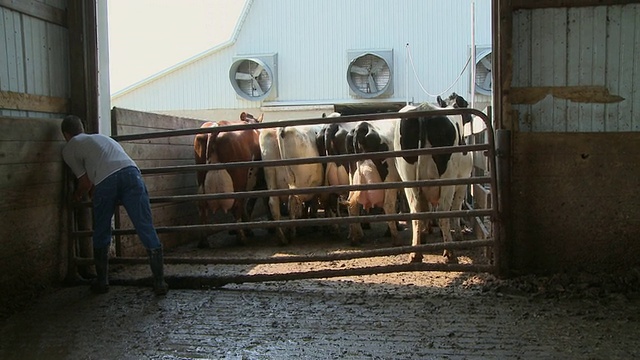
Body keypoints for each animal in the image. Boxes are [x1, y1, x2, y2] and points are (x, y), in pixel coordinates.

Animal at [195, 112, 264, 248]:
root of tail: (217, 124)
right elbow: (249, 205)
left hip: (201, 180)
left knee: (202, 207)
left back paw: (203, 241)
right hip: (238, 181)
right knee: (237, 206)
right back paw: (241, 238)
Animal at [392, 97, 472, 262]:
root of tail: (423, 110)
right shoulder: (463, 182)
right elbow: (456, 209)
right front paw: (459, 236)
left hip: (408, 178)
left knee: (416, 211)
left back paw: (416, 253)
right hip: (447, 178)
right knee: (443, 212)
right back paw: (449, 252)